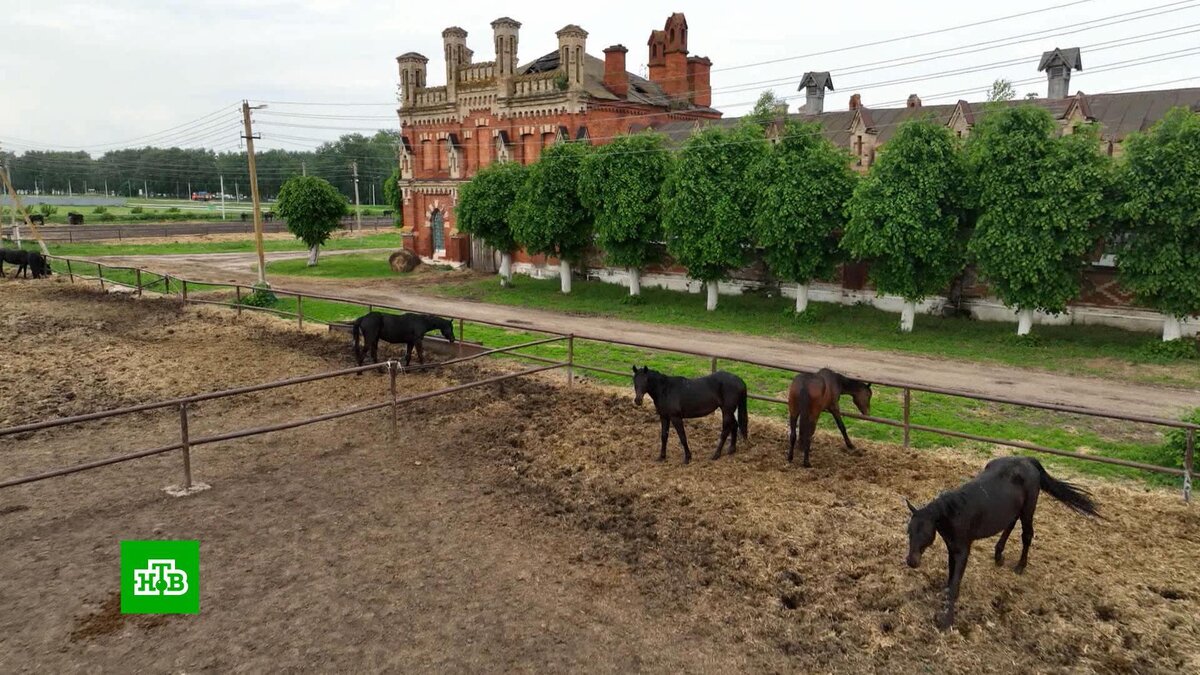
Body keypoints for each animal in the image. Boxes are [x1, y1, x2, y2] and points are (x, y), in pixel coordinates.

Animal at [902, 454, 1099, 629]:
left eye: (926, 533)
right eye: (909, 531)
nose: (911, 561)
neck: (953, 513)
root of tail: (1027, 459)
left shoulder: (963, 549)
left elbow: (955, 583)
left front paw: (946, 621)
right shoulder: (952, 547)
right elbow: (951, 578)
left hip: (1028, 509)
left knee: (1027, 534)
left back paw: (1020, 566)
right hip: (1013, 508)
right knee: (1010, 523)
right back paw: (998, 556)